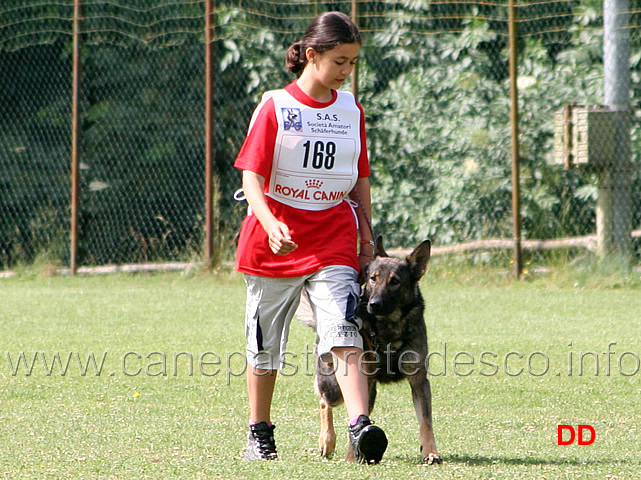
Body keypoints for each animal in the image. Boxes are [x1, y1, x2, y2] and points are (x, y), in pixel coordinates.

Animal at [304, 236, 440, 464]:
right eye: (373, 279)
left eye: (395, 281)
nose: (374, 304)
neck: (389, 327)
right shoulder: (364, 381)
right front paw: (352, 456)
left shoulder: (419, 381)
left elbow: (426, 421)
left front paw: (431, 452)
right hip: (334, 387)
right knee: (324, 402)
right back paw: (327, 440)